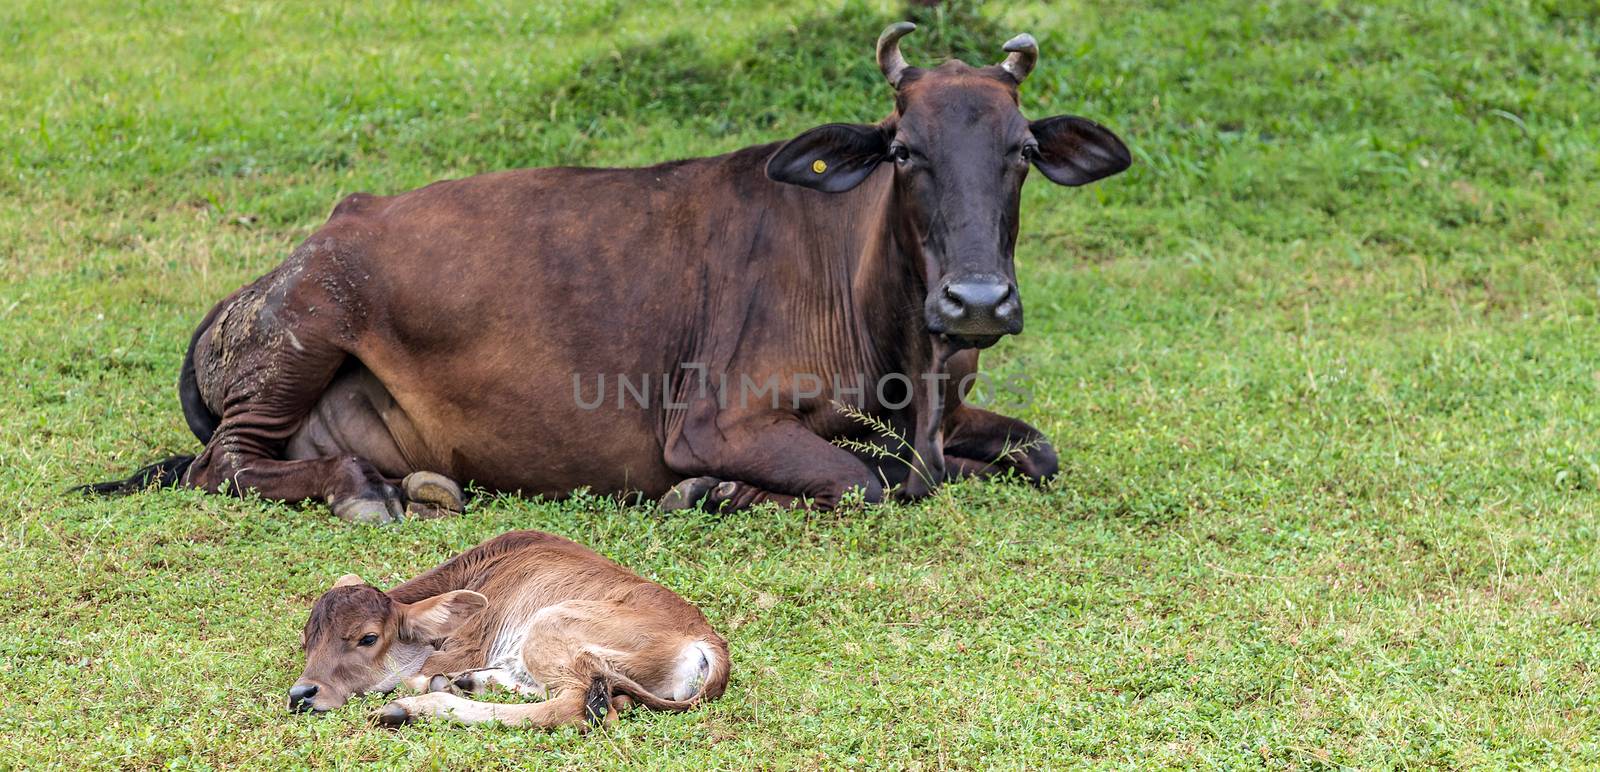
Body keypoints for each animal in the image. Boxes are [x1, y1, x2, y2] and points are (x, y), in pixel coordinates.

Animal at [84, 24, 1126, 522]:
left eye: (1023, 152)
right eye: (904, 150)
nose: (977, 300)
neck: (897, 344)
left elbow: (1031, 452)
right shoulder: (713, 420)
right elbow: (870, 483)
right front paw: (715, 494)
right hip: (309, 325)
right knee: (223, 465)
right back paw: (362, 490)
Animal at [289, 528, 732, 727]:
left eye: (368, 638)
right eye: (308, 639)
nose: (301, 694)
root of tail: (708, 641)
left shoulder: (465, 646)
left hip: (548, 627)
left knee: (574, 705)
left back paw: (416, 704)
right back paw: (466, 683)